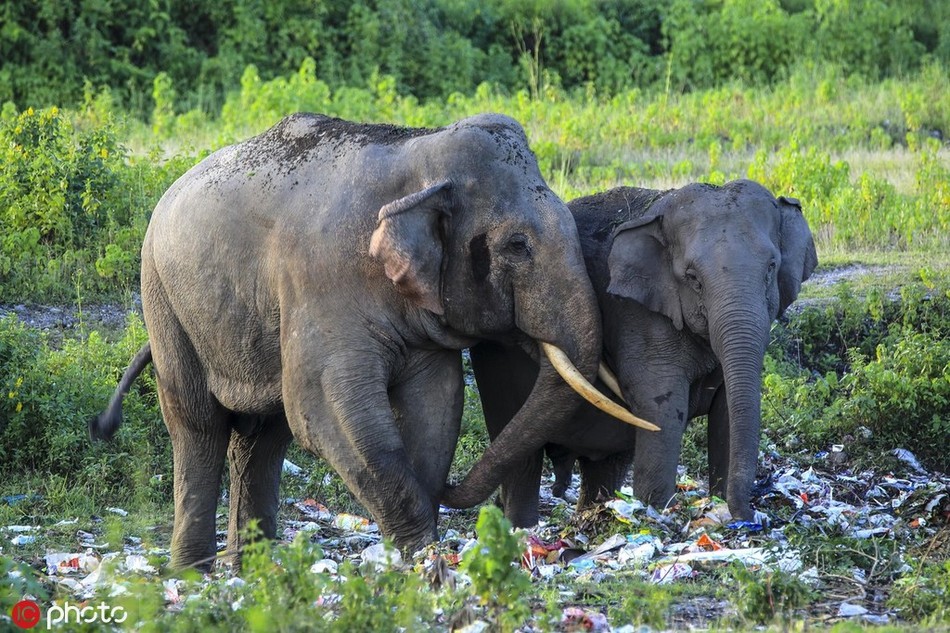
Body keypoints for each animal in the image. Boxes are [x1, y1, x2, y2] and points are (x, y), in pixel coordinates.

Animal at [468, 179, 820, 528]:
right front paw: (657, 514)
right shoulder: (639, 317)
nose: (750, 517)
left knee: (603, 467)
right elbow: (660, 407)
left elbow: (725, 413)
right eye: (693, 278)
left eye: (771, 268)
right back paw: (521, 529)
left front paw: (719, 508)